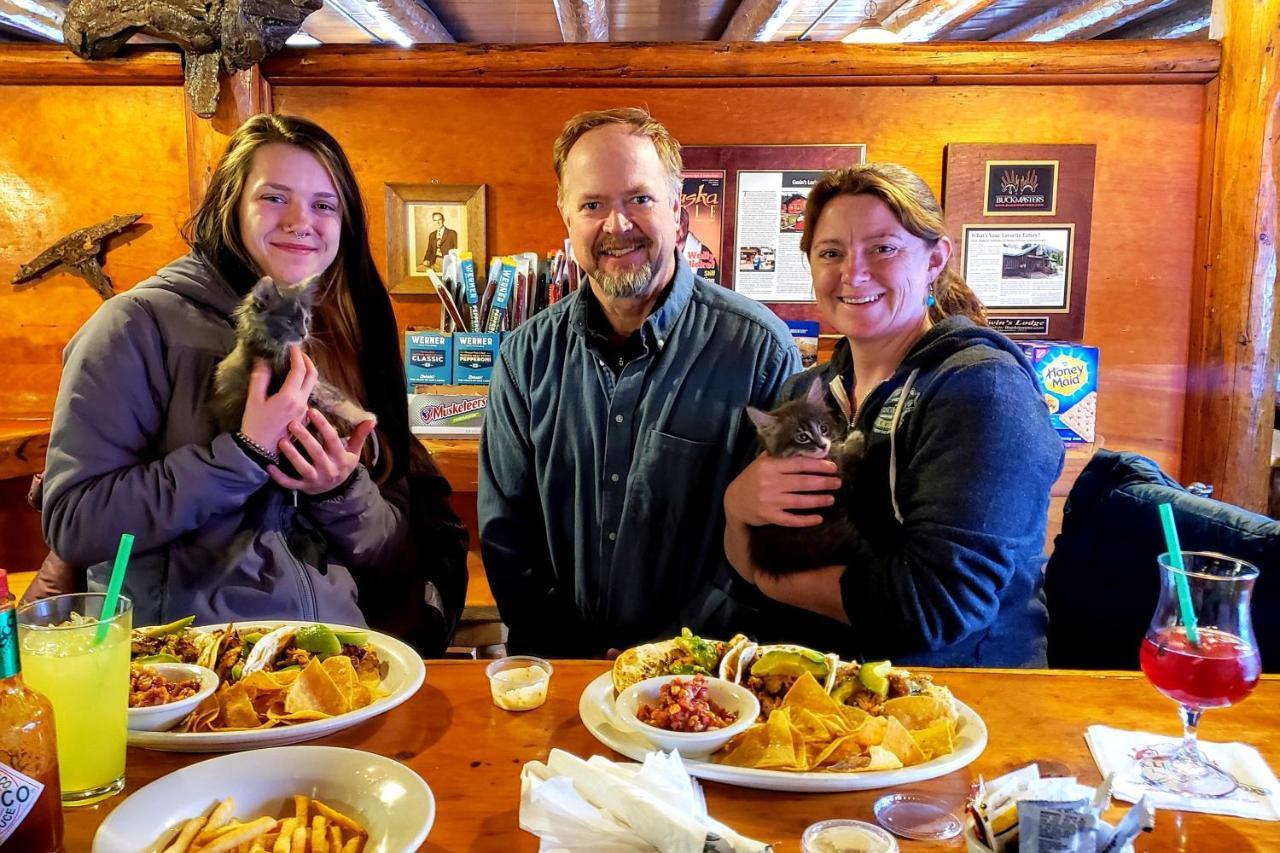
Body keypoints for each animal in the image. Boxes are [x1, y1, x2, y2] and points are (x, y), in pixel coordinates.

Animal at [209, 275, 373, 440]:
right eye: (288, 322)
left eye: (306, 320)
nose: (303, 334)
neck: (277, 346)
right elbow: (330, 396)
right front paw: (366, 416)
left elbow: (330, 394)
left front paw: (362, 416)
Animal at [747, 376, 865, 573]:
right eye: (802, 437)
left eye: (823, 428)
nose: (822, 445)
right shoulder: (837, 486)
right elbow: (849, 459)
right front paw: (855, 438)